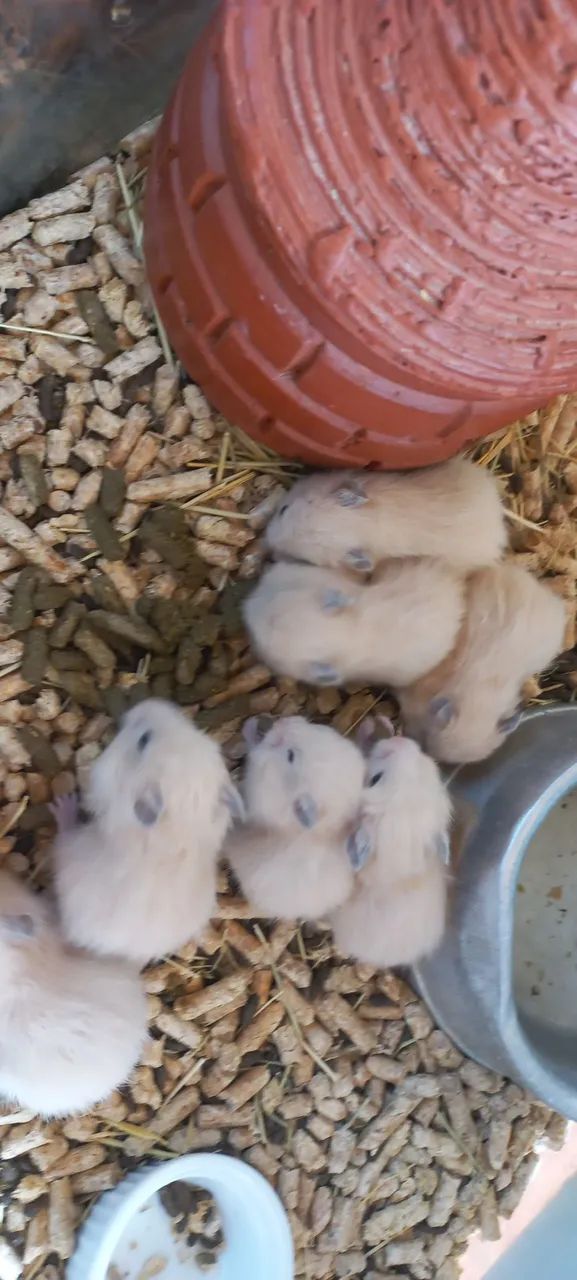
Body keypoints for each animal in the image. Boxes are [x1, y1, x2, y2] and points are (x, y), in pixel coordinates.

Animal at [53, 698, 243, 966]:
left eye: (144, 740)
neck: (182, 821)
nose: (147, 703)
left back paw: (63, 804)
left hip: (70, 849)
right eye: (193, 728)